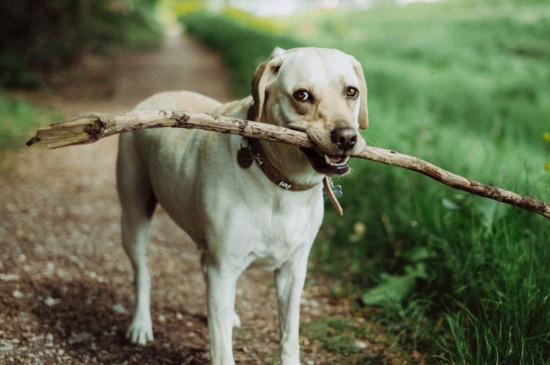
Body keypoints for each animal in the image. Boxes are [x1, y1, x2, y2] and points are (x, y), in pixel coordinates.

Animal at [117, 47, 370, 362]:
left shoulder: (293, 269)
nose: (347, 137)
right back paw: (140, 325)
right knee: (142, 273)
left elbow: (289, 336)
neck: (280, 184)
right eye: (302, 95)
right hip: (134, 216)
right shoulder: (224, 268)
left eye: (351, 91)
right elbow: (222, 350)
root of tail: (150, 99)